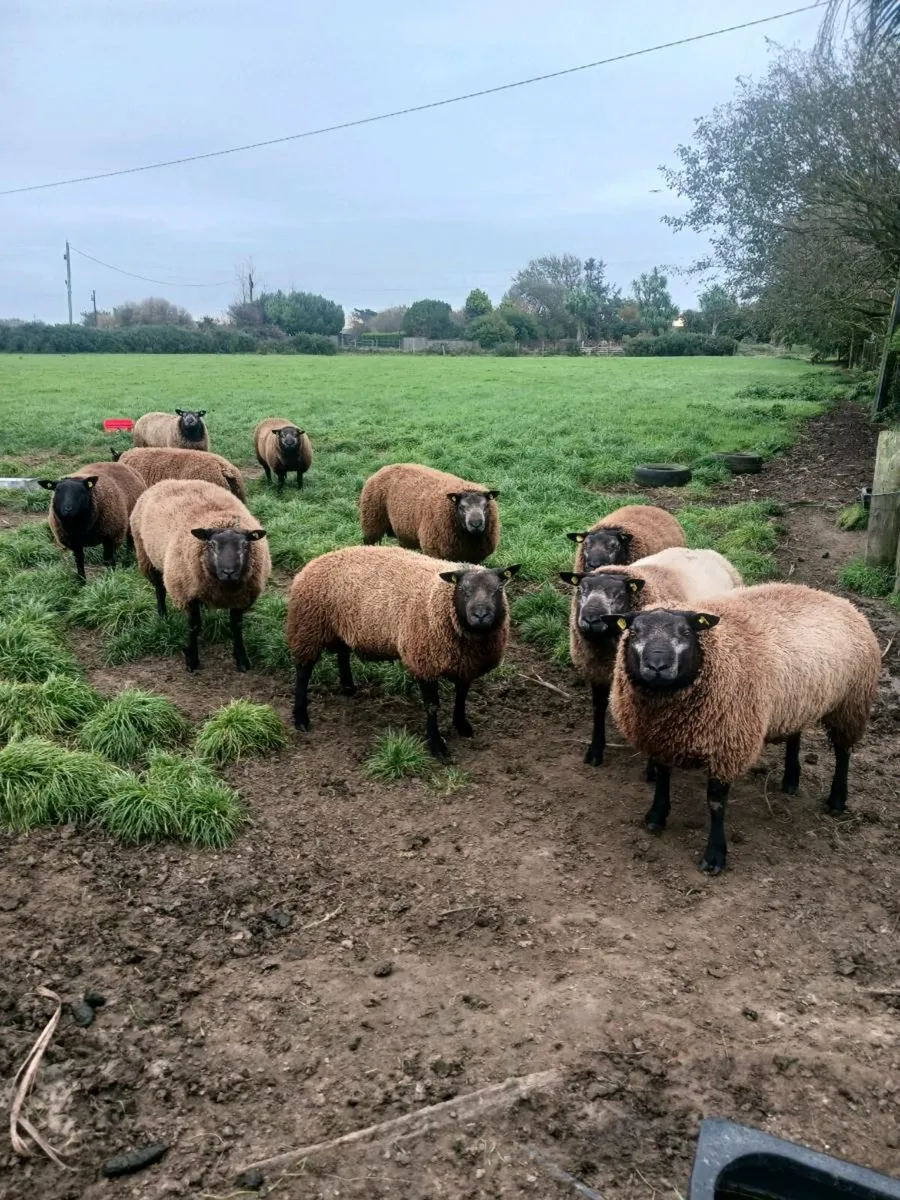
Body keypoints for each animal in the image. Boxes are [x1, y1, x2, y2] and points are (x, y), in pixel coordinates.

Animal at [130, 479, 270, 673]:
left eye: (245, 545)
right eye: (211, 544)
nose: (228, 572)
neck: (225, 588)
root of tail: (168, 481)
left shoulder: (241, 597)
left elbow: (236, 627)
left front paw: (241, 659)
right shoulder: (187, 594)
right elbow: (194, 627)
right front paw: (192, 660)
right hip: (147, 557)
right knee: (159, 590)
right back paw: (162, 616)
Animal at [286, 545, 520, 758]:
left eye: (498, 590)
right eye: (463, 590)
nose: (480, 615)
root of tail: (316, 560)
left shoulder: (466, 665)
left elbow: (462, 696)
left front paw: (462, 725)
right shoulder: (424, 661)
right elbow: (432, 706)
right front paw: (437, 746)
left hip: (341, 627)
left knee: (342, 653)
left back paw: (348, 686)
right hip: (308, 628)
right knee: (303, 673)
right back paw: (301, 718)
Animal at [360, 464, 500, 563]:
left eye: (486, 506)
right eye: (461, 507)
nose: (476, 524)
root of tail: (384, 468)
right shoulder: (435, 550)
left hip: (404, 532)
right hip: (372, 522)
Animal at [560, 547, 743, 767]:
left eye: (619, 594)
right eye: (582, 590)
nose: (590, 619)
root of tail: (704, 551)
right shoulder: (597, 670)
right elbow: (598, 708)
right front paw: (595, 751)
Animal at [610, 582, 880, 874]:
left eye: (686, 632)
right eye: (634, 632)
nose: (658, 666)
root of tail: (838, 599)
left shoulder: (727, 744)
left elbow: (716, 802)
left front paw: (715, 855)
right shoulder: (658, 737)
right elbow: (662, 777)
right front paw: (656, 816)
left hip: (851, 704)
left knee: (843, 752)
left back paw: (837, 800)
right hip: (796, 700)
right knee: (795, 735)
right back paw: (790, 780)